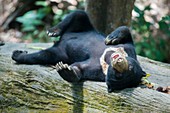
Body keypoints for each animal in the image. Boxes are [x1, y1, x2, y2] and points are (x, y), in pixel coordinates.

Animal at [11, 10, 145, 92]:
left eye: (119, 76)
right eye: (131, 67)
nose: (118, 62)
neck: (106, 58)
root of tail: (61, 41)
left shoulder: (95, 69)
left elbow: (79, 69)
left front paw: (65, 70)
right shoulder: (128, 49)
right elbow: (125, 31)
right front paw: (111, 38)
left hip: (59, 53)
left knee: (42, 55)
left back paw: (18, 54)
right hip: (82, 27)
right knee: (79, 14)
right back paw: (53, 31)